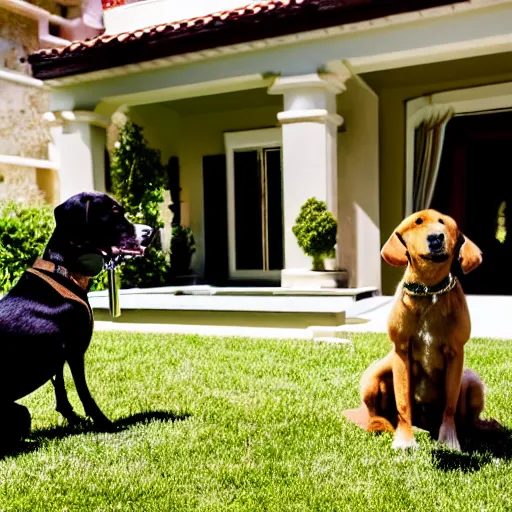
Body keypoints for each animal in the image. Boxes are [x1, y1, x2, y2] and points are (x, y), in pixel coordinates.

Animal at [0, 192, 153, 452]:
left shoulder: (59, 354)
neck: (64, 273)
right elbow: (83, 392)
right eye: (114, 212)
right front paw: (105, 423)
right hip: (20, 413)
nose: (151, 232)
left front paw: (74, 419)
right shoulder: (74, 350)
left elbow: (60, 388)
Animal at [342, 210, 498, 450]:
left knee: (469, 421)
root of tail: (426, 424)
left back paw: (477, 430)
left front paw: (449, 439)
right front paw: (405, 441)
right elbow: (403, 402)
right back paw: (385, 425)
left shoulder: (455, 353)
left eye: (443, 223)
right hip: (373, 374)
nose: (435, 238)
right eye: (417, 222)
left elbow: (450, 405)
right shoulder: (401, 351)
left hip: (473, 380)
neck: (428, 290)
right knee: (375, 414)